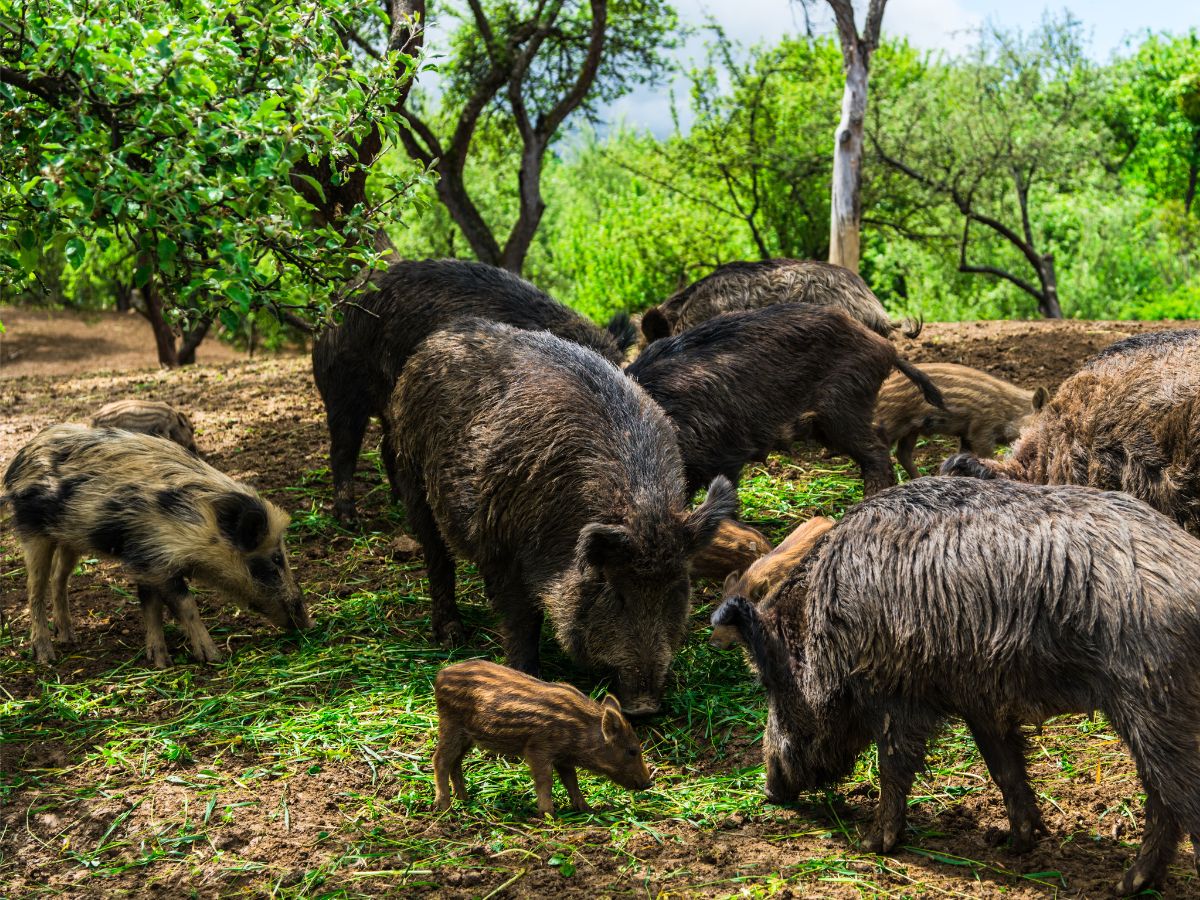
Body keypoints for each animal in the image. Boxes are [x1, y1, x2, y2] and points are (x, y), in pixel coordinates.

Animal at [2, 424, 309, 672]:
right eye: (276, 559)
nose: (310, 623)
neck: (199, 522)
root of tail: (20, 456)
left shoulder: (145, 561)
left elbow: (151, 607)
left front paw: (160, 662)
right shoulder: (154, 559)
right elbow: (186, 605)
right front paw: (214, 658)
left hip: (70, 539)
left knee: (59, 579)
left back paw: (69, 638)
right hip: (32, 530)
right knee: (35, 589)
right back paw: (46, 656)